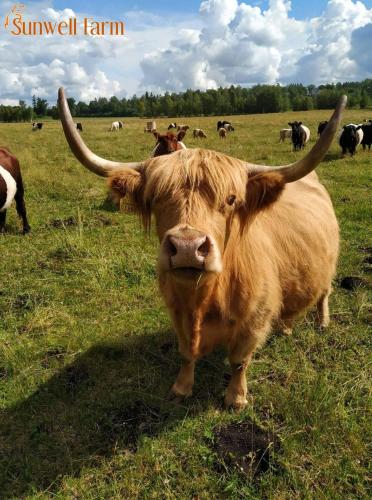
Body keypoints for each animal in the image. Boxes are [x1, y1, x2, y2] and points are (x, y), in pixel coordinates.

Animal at [57, 88, 346, 410]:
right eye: (156, 197)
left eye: (231, 199)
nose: (186, 247)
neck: (203, 300)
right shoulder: (177, 313)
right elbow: (186, 354)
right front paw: (181, 388)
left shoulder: (254, 320)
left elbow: (239, 361)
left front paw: (236, 397)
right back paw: (285, 327)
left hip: (327, 268)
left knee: (323, 294)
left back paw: (322, 322)